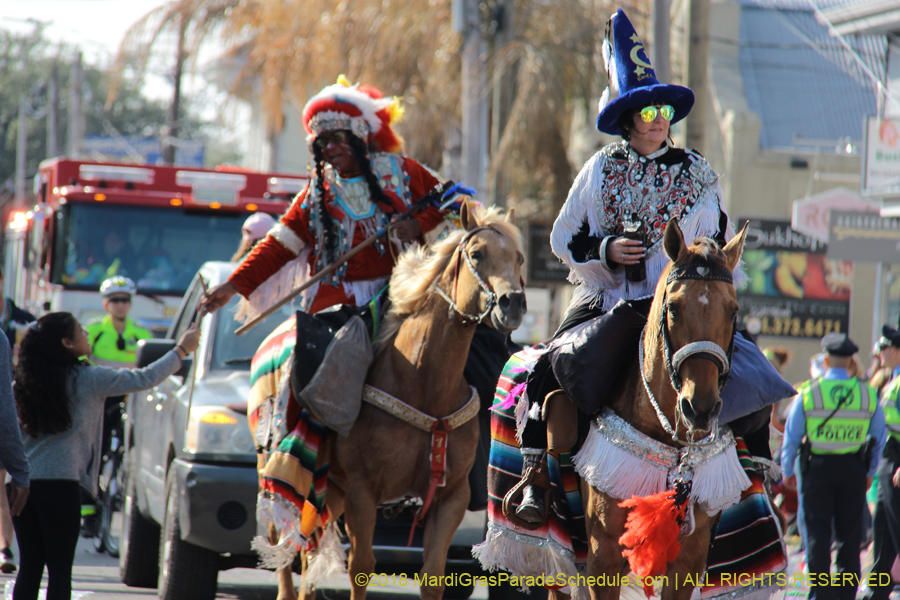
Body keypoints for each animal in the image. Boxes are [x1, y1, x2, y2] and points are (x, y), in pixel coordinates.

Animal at [253, 204, 528, 600]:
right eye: (477, 254)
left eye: (518, 258)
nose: (514, 303)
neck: (422, 383)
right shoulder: (363, 491)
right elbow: (361, 567)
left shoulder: (452, 497)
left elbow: (433, 575)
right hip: (282, 473)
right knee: (287, 542)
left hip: (331, 488)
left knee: (308, 552)